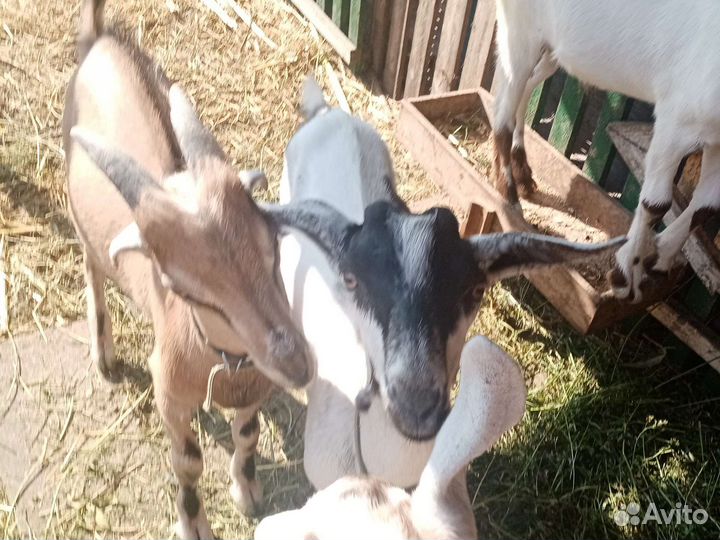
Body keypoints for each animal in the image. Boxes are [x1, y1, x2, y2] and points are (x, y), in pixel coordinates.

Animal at [63, 1, 312, 538]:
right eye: (187, 288)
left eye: (273, 243)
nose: (295, 364)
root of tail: (98, 40)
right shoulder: (169, 394)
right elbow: (188, 463)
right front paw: (193, 521)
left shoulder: (253, 388)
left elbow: (248, 433)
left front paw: (247, 491)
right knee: (93, 268)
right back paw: (104, 354)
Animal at [492, 0, 720, 302]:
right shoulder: (678, 120)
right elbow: (657, 203)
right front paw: (625, 276)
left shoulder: (716, 137)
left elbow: (706, 207)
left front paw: (660, 260)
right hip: (518, 29)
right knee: (504, 108)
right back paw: (510, 195)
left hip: (550, 47)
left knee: (526, 87)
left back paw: (523, 173)